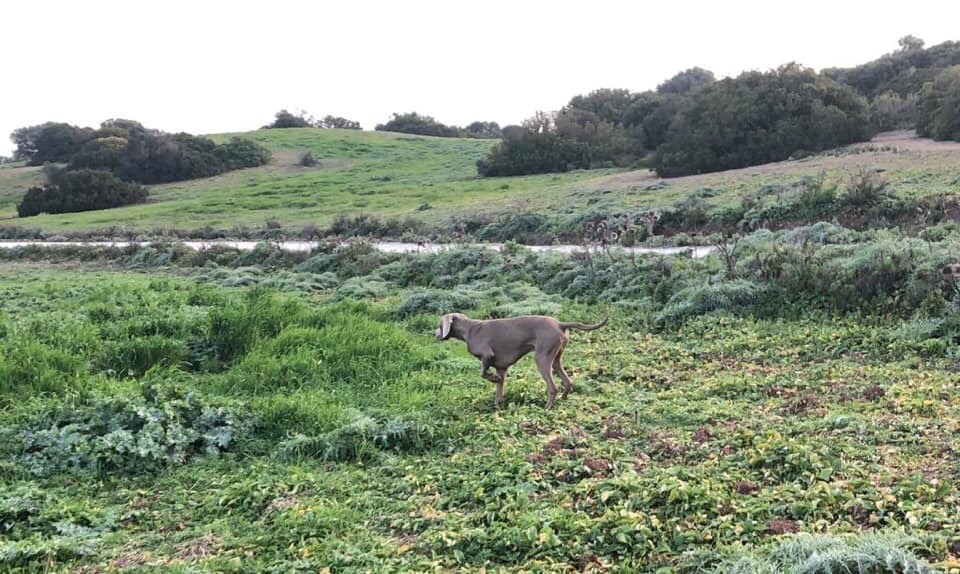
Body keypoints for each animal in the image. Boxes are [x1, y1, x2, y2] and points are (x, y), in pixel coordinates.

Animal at [436, 316, 608, 410]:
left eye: (439, 325)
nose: (434, 333)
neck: (469, 329)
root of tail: (560, 324)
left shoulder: (487, 355)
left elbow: (483, 373)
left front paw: (493, 379)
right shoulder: (501, 367)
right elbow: (499, 388)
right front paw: (497, 404)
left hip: (542, 358)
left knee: (553, 387)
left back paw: (547, 407)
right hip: (555, 359)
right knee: (567, 381)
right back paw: (563, 400)